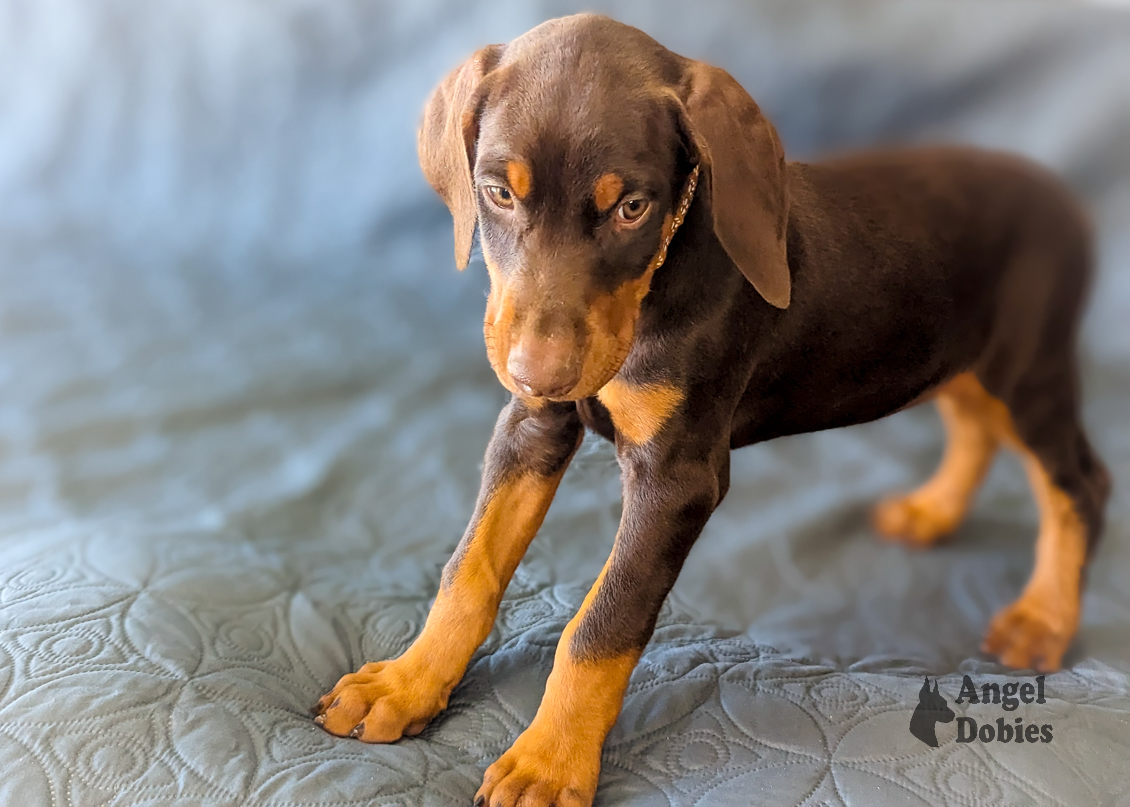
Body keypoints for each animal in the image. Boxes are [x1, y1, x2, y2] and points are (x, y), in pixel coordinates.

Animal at [314, 14, 1107, 804]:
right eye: (497, 193)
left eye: (632, 208)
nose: (540, 375)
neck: (658, 285)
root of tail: (1061, 196)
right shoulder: (531, 428)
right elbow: (468, 568)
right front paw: (409, 684)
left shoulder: (677, 478)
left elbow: (601, 624)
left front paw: (548, 760)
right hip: (954, 357)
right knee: (977, 428)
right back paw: (934, 511)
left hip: (1025, 369)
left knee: (1078, 483)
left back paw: (1043, 614)